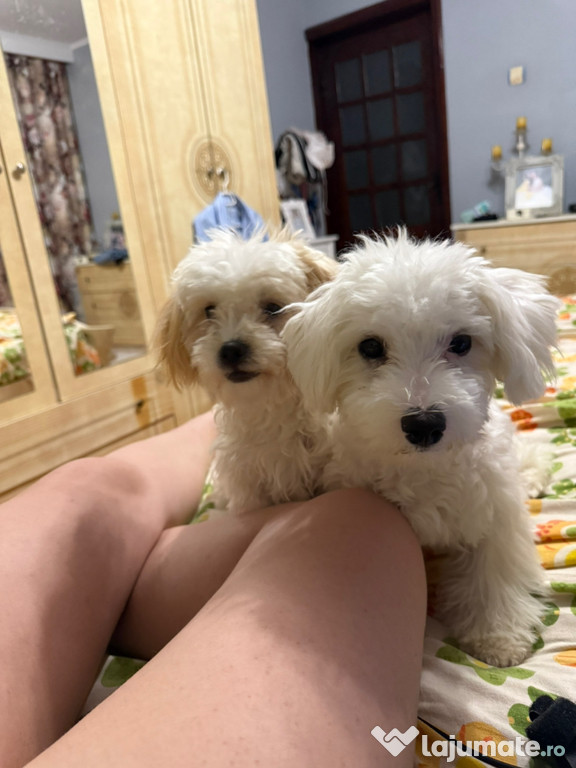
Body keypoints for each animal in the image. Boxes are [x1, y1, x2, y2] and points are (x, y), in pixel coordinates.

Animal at [282, 231, 560, 667]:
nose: (424, 424)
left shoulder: (495, 513)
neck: (422, 467)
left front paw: (497, 635)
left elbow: (493, 574)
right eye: (370, 347)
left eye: (461, 342)